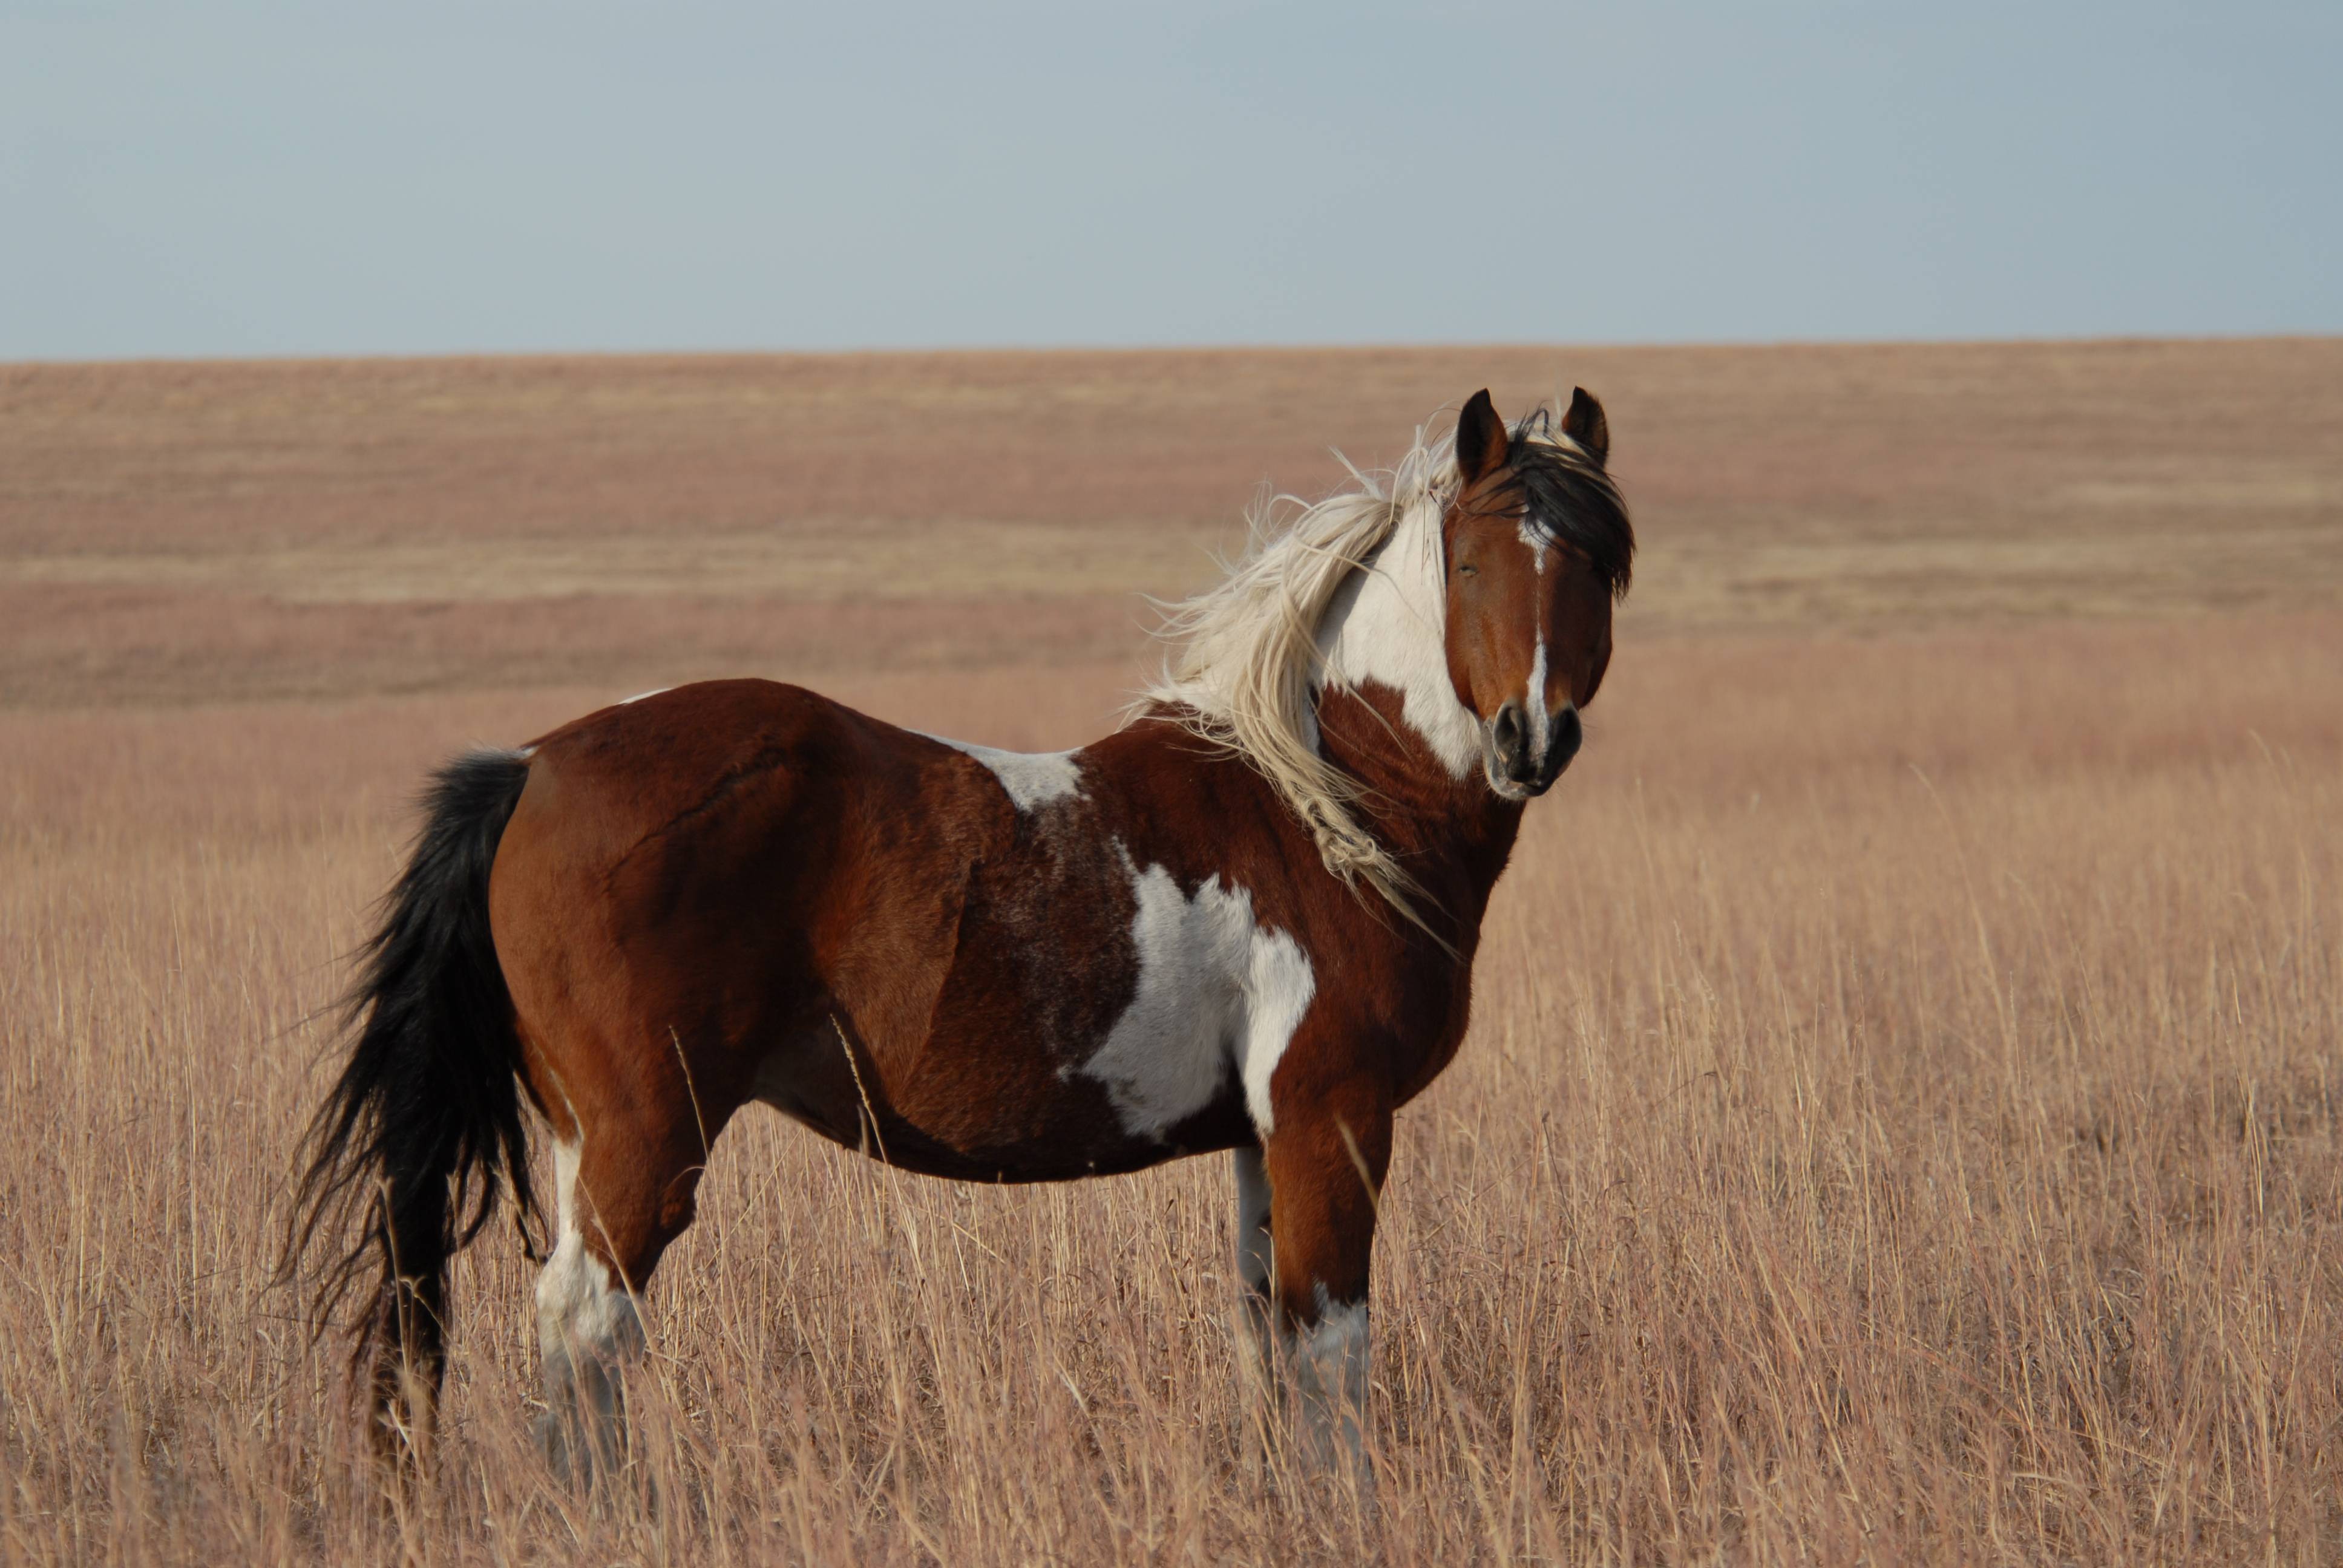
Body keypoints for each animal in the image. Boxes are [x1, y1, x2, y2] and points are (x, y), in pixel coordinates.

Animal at [285, 386, 1633, 1482]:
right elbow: (1332, 1348)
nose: (1532, 737)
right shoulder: (1333, 1118)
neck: (1322, 809)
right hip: (642, 1136)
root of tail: (534, 765)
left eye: (1604, 563)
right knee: (584, 1328)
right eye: (1473, 564)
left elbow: (1267, 1335)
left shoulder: (1266, 1137)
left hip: (579, 1135)